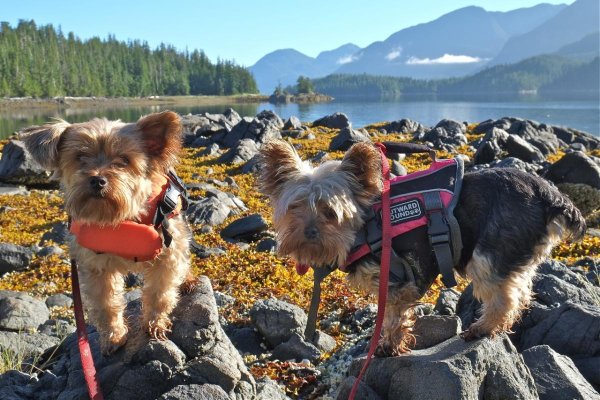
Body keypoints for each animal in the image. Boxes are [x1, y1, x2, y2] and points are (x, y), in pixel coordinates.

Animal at [258, 141, 584, 356]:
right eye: (296, 208)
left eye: (330, 212)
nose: (310, 232)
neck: (366, 225)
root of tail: (548, 194)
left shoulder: (399, 280)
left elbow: (392, 317)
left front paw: (388, 345)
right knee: (521, 290)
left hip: (489, 253)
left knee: (504, 298)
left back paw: (483, 328)